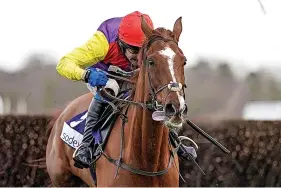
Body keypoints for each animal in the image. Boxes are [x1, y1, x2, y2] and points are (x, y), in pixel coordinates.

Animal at [45, 16, 188, 187]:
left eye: (184, 61)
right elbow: (66, 61)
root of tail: (64, 112)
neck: (147, 161)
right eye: (151, 62)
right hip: (61, 180)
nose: (176, 108)